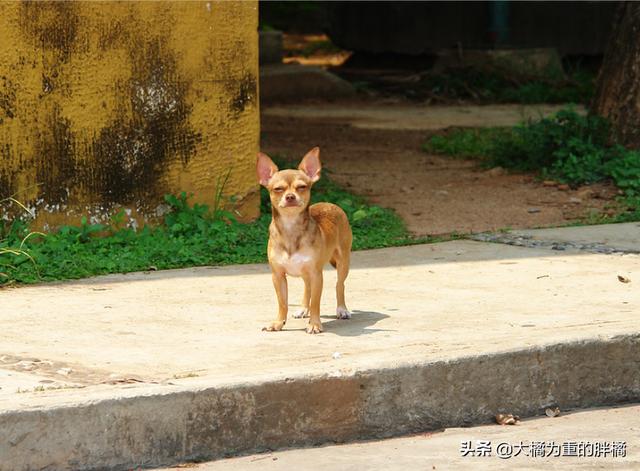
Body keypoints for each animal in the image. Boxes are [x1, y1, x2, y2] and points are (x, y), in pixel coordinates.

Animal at [258, 148, 352, 336]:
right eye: (277, 189)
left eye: (302, 187)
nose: (290, 196)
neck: (290, 228)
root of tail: (330, 203)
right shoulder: (278, 276)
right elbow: (283, 303)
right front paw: (278, 323)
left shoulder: (317, 275)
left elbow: (316, 303)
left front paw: (315, 324)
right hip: (306, 272)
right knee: (307, 287)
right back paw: (303, 309)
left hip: (343, 263)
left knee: (339, 285)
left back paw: (342, 309)